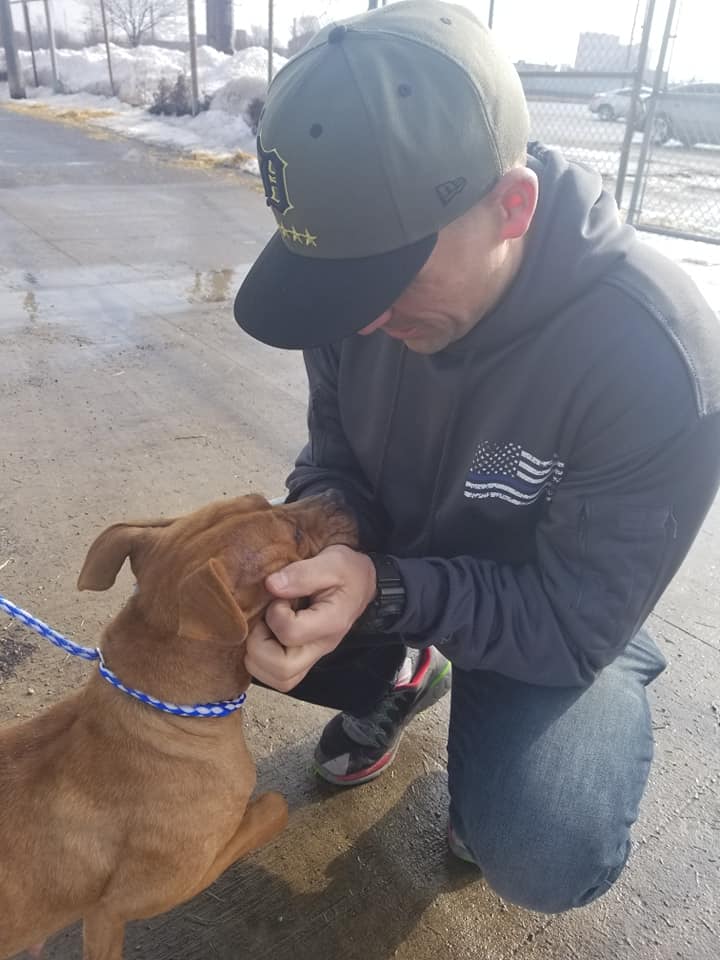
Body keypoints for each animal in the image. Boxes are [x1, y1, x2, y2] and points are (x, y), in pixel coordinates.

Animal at [0, 496, 358, 960]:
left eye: (267, 498)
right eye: (295, 536)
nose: (341, 496)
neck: (164, 714)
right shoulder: (115, 909)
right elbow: (274, 807)